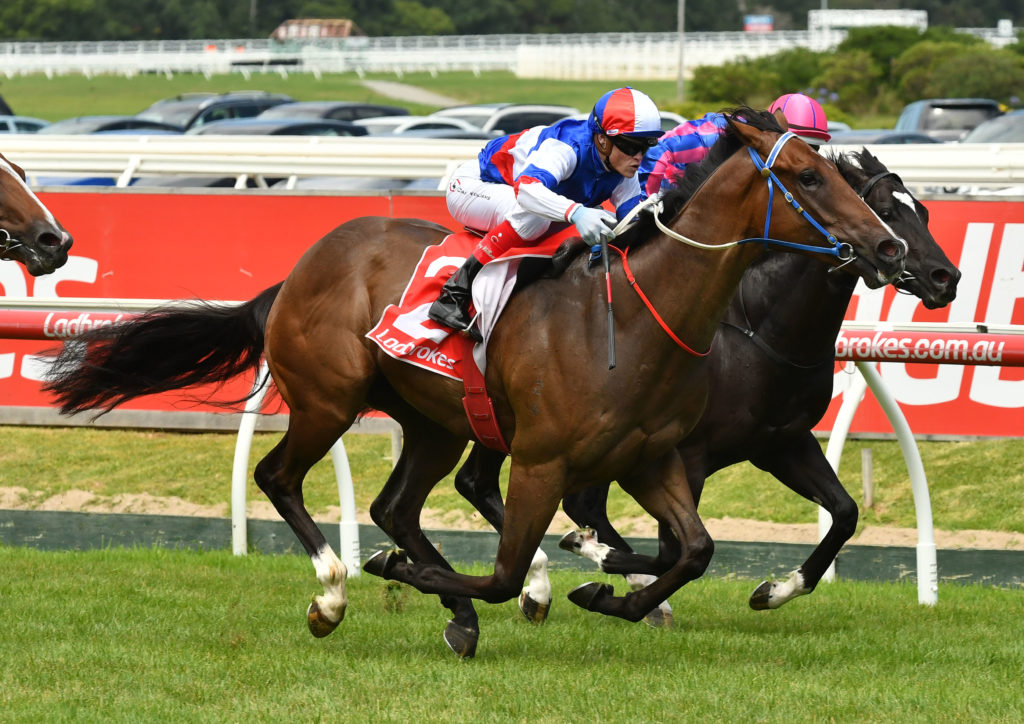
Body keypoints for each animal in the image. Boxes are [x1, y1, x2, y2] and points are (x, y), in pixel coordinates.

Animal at [43, 110, 908, 658]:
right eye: (806, 176)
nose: (891, 248)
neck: (633, 316)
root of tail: (298, 270)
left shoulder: (653, 458)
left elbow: (693, 549)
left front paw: (610, 596)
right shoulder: (544, 462)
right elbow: (504, 572)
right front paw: (454, 579)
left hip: (437, 419)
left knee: (396, 506)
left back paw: (450, 610)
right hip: (329, 398)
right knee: (279, 477)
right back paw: (335, 592)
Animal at [455, 147, 960, 626]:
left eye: (923, 211)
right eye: (885, 210)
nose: (946, 277)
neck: (759, 330)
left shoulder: (782, 442)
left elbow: (845, 513)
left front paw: (776, 590)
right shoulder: (685, 453)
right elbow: (672, 550)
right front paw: (601, 563)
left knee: (477, 482)